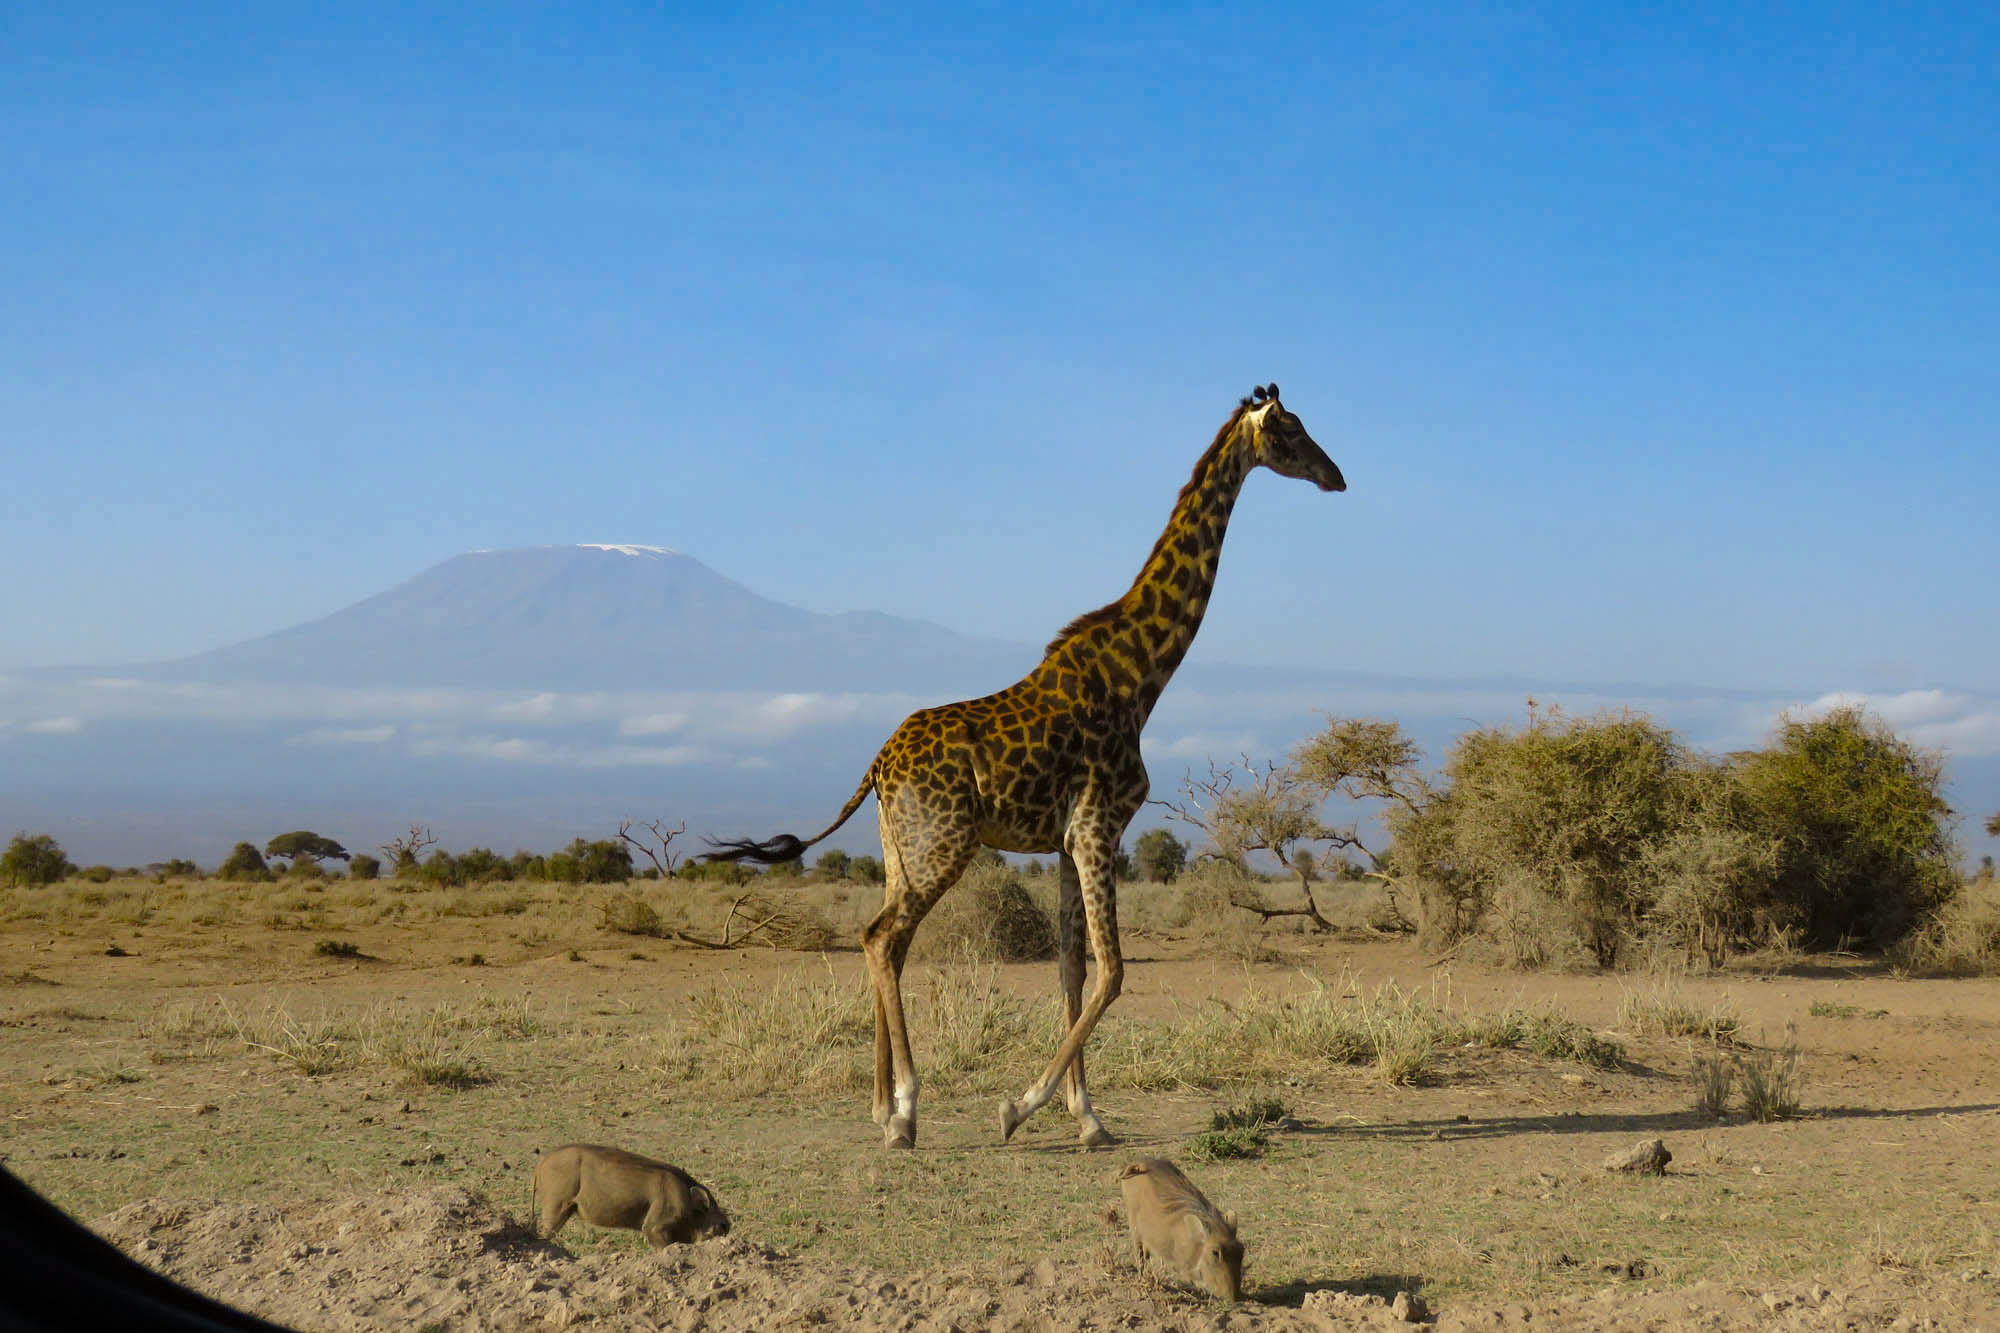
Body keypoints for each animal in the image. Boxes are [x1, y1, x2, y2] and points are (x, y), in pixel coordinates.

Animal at [704, 384, 1344, 1144]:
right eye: (1292, 430)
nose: (1337, 476)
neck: (1141, 676)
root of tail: (878, 765)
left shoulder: (1068, 839)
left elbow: (1072, 969)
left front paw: (1087, 1116)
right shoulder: (1099, 825)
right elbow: (1113, 971)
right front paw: (1020, 1107)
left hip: (900, 849)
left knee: (882, 939)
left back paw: (880, 1107)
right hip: (944, 843)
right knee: (882, 937)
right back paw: (906, 1109)